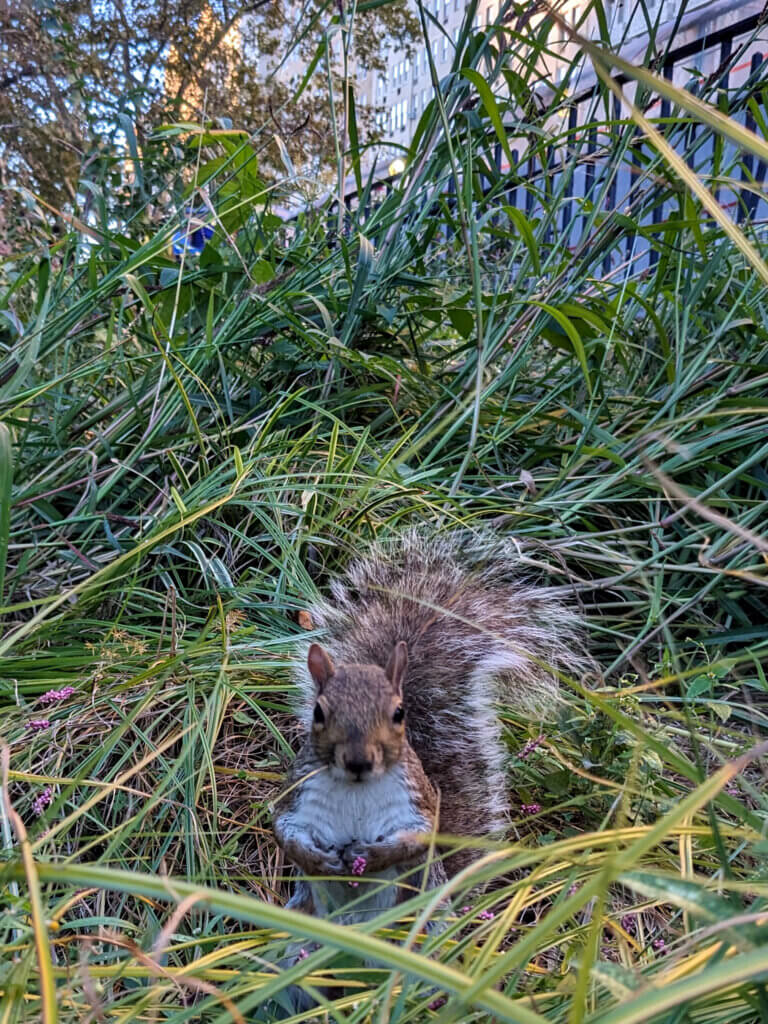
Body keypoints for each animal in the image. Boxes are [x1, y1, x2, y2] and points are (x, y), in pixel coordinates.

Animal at [273, 530, 587, 924]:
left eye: (398, 713)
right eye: (319, 712)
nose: (359, 761)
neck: (357, 788)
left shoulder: (416, 802)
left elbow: (420, 835)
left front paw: (371, 855)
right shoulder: (297, 794)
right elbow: (285, 831)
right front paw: (320, 858)